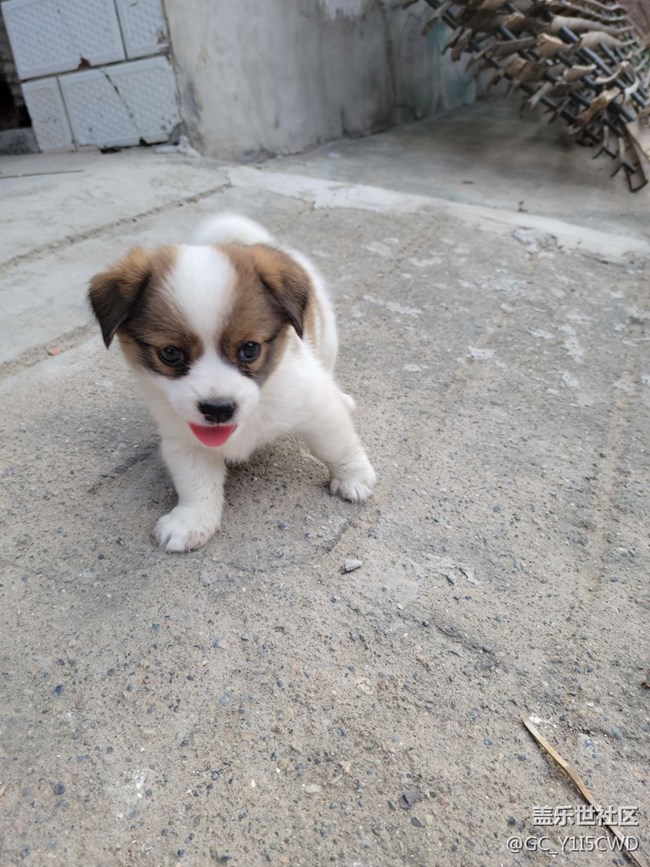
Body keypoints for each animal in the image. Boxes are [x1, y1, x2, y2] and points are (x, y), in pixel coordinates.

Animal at [88, 214, 376, 552]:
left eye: (249, 348)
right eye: (170, 353)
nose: (217, 409)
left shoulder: (315, 406)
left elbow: (336, 445)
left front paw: (354, 477)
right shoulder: (183, 438)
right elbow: (197, 482)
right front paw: (193, 520)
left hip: (327, 339)